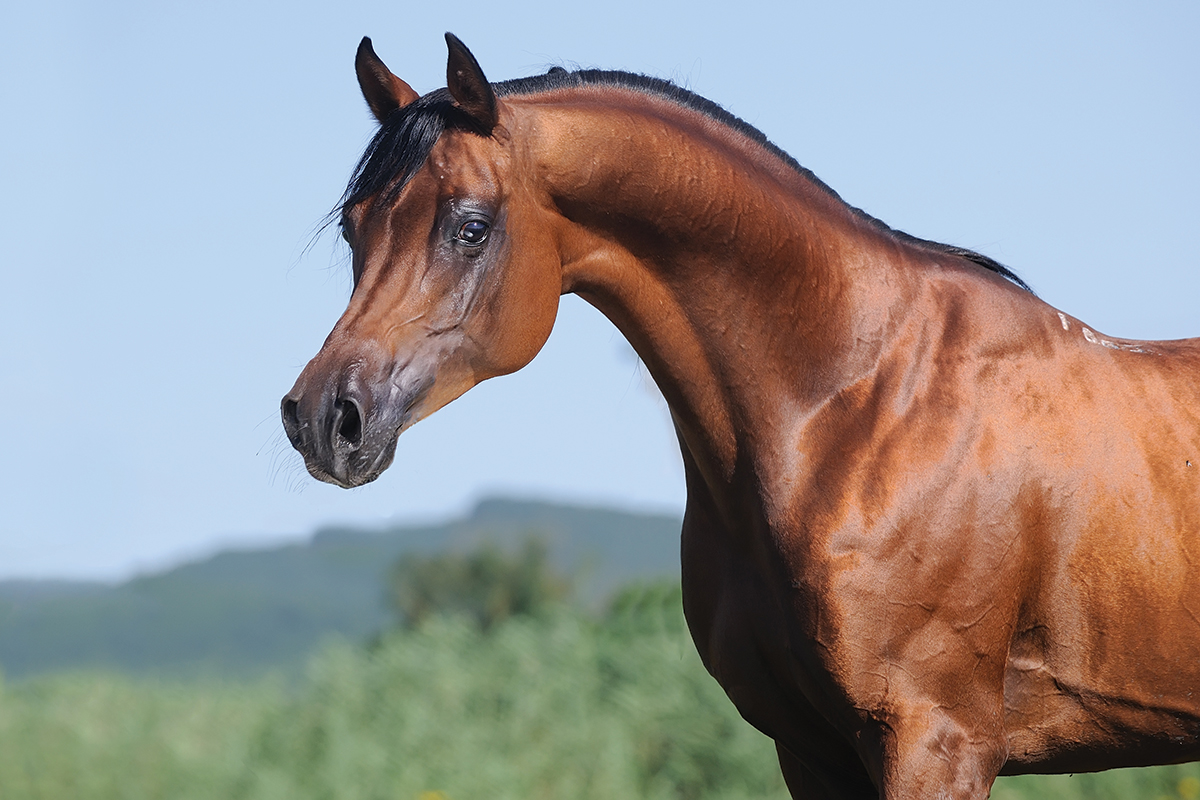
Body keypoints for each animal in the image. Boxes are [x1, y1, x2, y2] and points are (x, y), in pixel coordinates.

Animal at [283, 35, 1200, 800]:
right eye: (356, 230)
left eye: (470, 227)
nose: (325, 418)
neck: (857, 408)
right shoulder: (814, 752)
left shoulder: (937, 744)